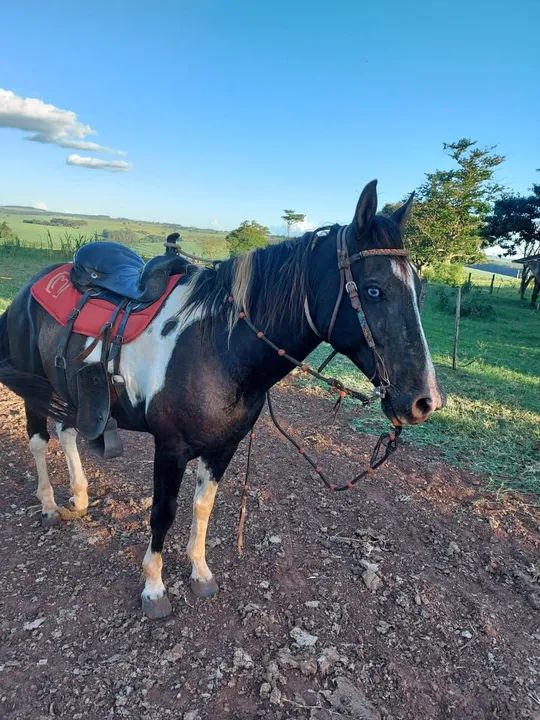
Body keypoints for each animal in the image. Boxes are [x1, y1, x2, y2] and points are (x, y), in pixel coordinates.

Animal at [0, 180, 444, 619]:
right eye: (373, 290)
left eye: (420, 290)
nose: (426, 401)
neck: (219, 346)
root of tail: (34, 284)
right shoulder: (171, 448)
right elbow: (163, 512)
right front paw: (154, 587)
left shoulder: (223, 447)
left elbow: (203, 507)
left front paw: (199, 571)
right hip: (35, 387)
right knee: (39, 441)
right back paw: (49, 506)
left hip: (66, 389)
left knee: (67, 432)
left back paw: (79, 496)